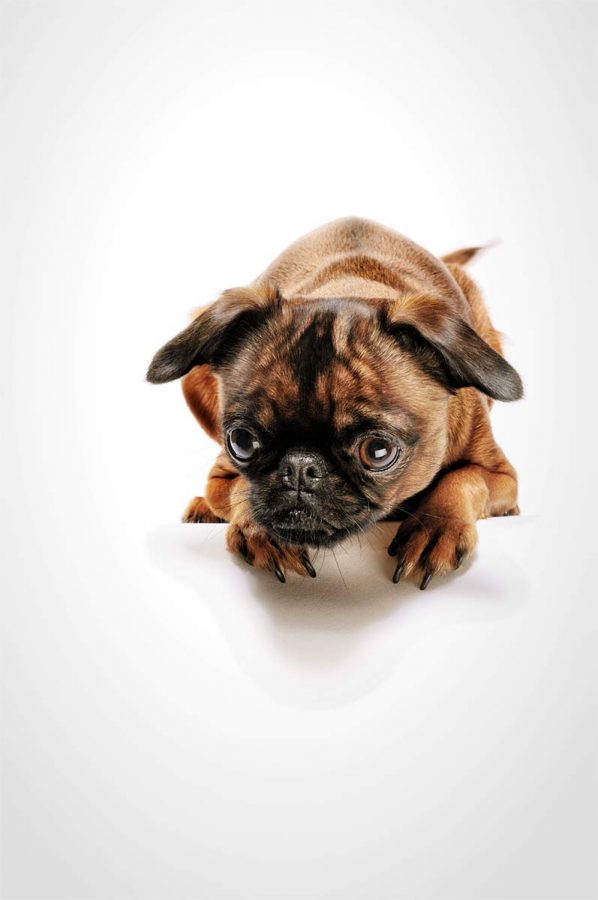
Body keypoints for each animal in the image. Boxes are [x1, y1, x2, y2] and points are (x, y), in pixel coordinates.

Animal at [148, 214, 524, 588]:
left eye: (378, 451)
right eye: (241, 442)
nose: (300, 468)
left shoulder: (500, 475)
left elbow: (463, 479)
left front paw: (437, 526)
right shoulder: (220, 477)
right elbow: (241, 489)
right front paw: (260, 533)